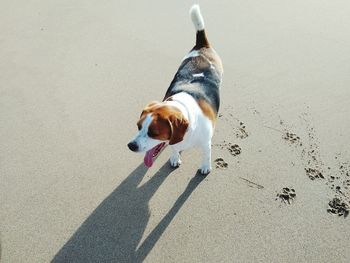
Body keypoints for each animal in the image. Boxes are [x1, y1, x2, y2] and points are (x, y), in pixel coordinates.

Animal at [127, 4, 223, 175]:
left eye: (154, 133)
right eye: (138, 126)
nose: (131, 146)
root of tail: (202, 46)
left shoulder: (206, 142)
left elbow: (206, 154)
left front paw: (205, 166)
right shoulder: (174, 142)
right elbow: (173, 147)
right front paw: (174, 157)